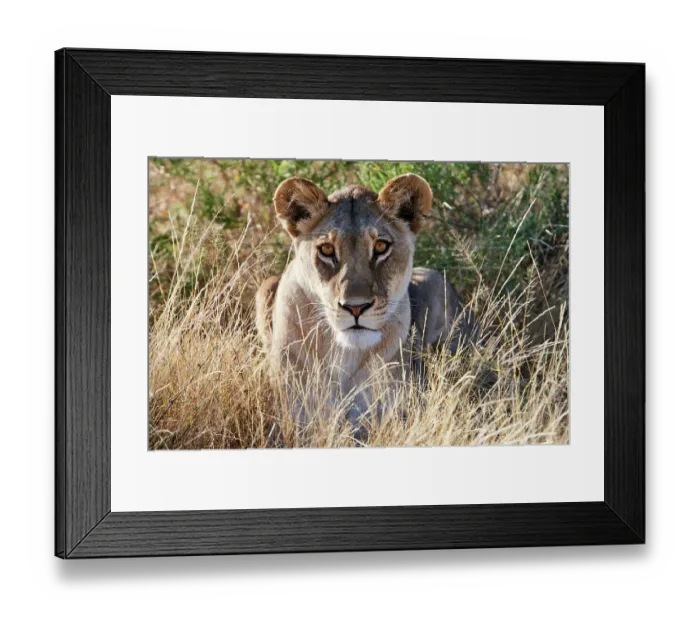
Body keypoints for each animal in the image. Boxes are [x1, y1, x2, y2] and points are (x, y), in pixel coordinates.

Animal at [255, 173, 474, 427]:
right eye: (327, 249)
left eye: (380, 246)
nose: (355, 307)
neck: (345, 355)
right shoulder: (293, 416)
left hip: (438, 282)